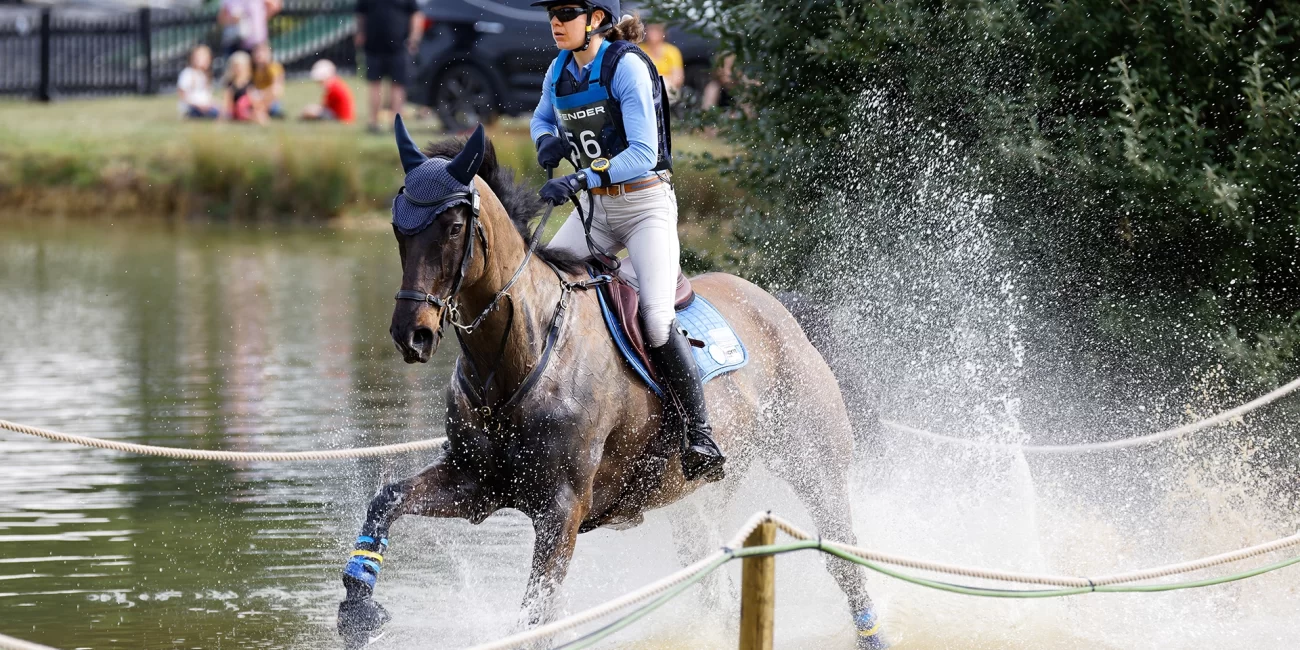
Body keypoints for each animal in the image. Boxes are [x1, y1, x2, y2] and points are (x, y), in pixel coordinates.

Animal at [335, 124, 889, 647]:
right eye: (398, 228)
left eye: (452, 228)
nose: (412, 334)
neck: (518, 355)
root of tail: (778, 307)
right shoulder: (477, 483)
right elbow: (386, 499)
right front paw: (357, 611)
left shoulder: (561, 510)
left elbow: (535, 617)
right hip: (700, 492)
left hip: (812, 461)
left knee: (841, 555)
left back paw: (873, 634)